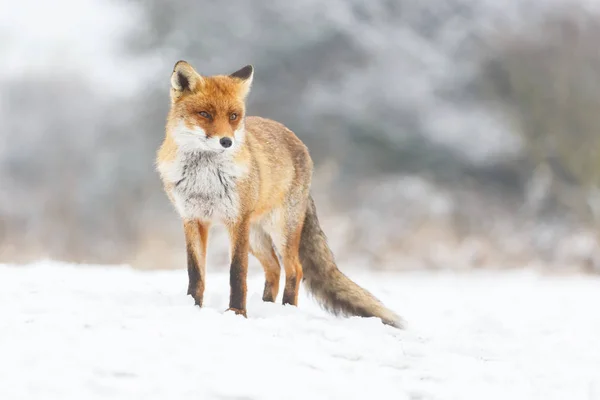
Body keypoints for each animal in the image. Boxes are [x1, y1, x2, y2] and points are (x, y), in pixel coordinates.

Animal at [157, 60, 406, 328]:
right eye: (205, 114)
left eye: (233, 116)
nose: (226, 142)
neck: (205, 179)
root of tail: (295, 138)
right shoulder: (193, 219)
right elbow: (196, 273)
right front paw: (193, 307)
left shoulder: (237, 222)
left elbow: (237, 273)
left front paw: (237, 313)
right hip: (256, 236)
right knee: (274, 268)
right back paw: (267, 305)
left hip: (279, 230)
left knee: (294, 269)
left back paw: (287, 310)